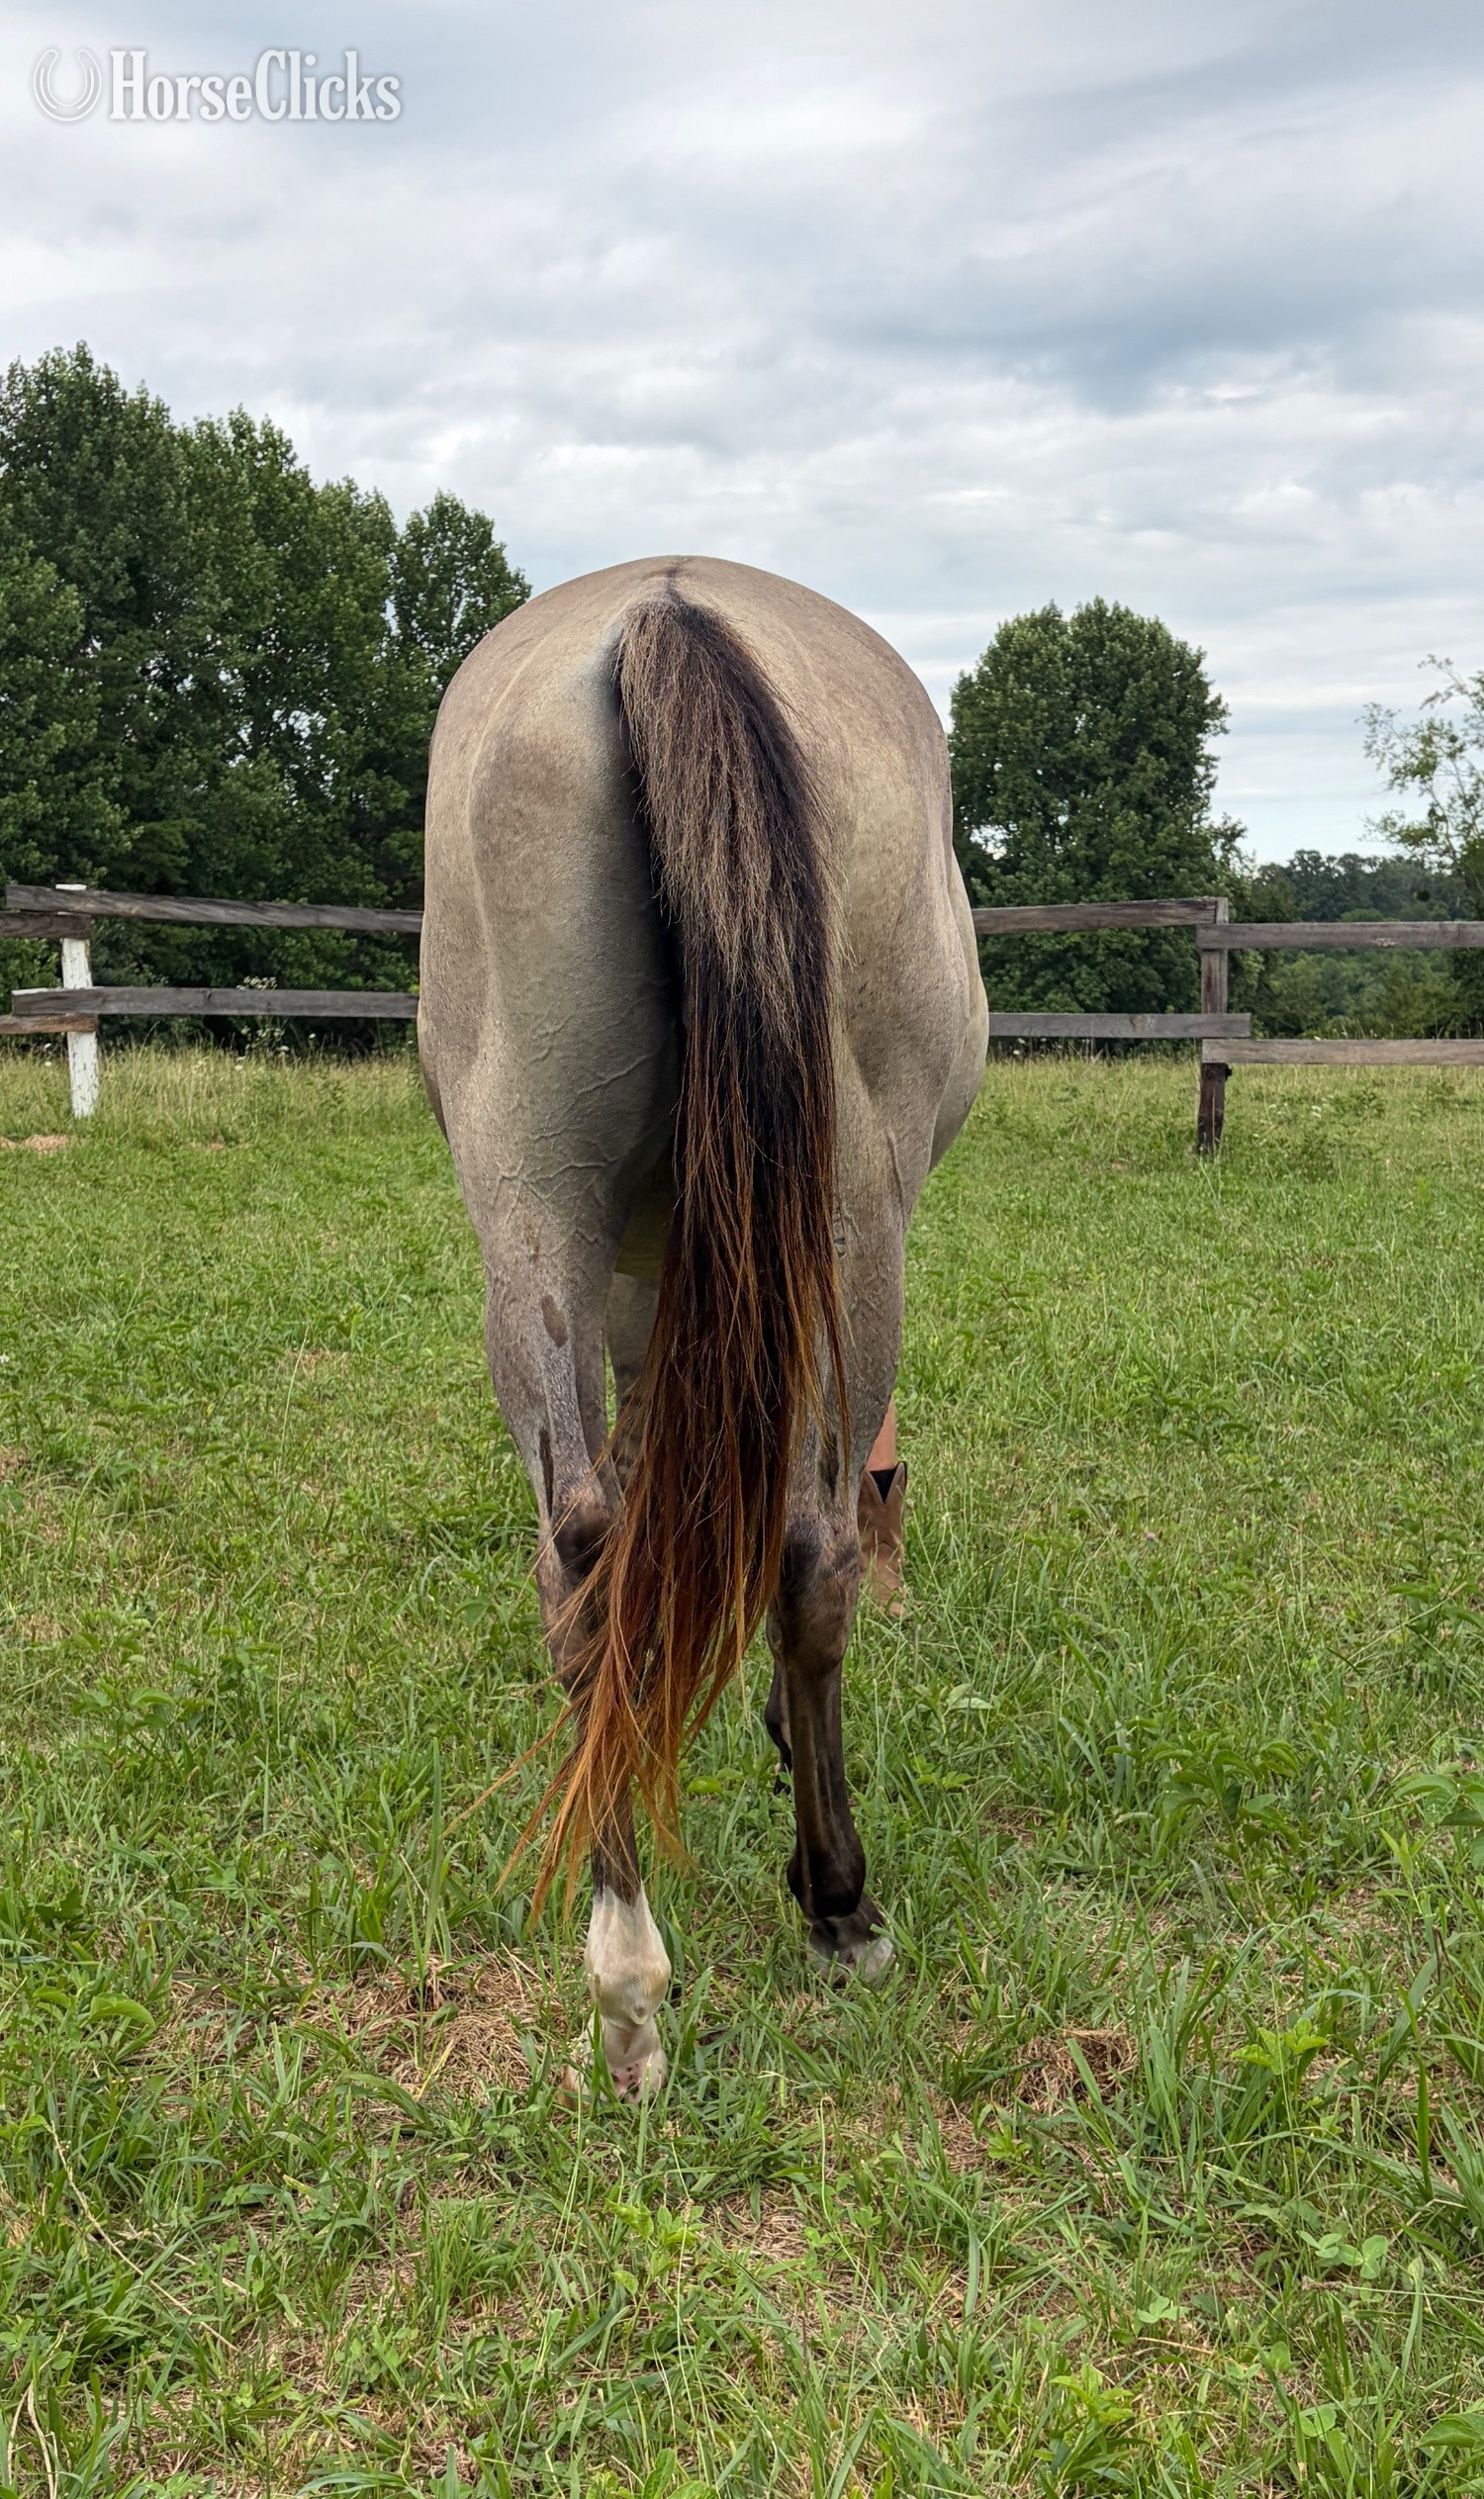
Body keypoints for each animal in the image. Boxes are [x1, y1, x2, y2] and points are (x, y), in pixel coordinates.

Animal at [419, 556, 987, 2095]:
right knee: (808, 1548)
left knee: (582, 1552)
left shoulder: (644, 1282)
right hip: (856, 1222)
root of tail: (665, 611)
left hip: (528, 1205)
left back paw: (625, 1980)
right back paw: (840, 1906)